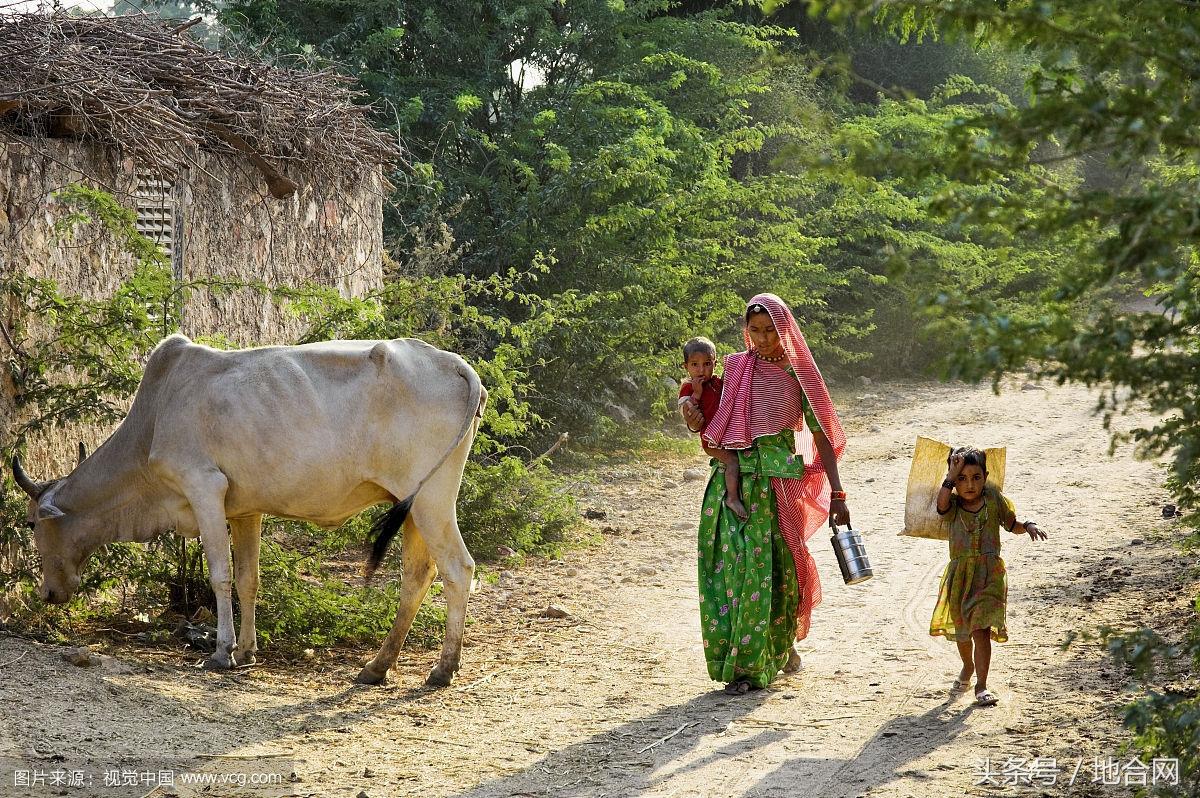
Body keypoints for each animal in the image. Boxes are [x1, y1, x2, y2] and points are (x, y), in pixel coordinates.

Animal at [11, 333, 484, 686]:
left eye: (32, 523)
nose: (47, 593)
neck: (154, 419)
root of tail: (457, 365)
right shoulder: (245, 511)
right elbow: (247, 580)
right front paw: (247, 649)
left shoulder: (203, 488)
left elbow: (220, 576)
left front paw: (222, 652)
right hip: (413, 507)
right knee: (417, 576)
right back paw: (377, 667)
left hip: (433, 501)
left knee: (457, 569)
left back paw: (443, 669)